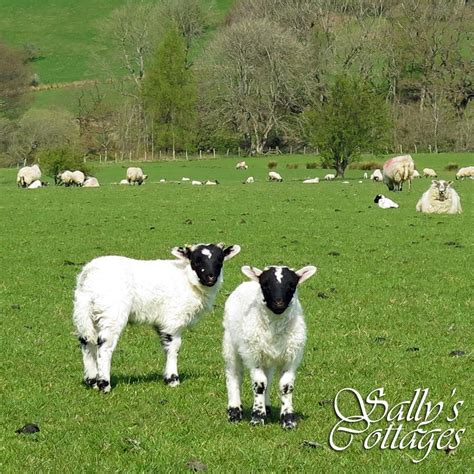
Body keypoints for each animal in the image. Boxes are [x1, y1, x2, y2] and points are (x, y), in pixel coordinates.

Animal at [73, 243, 241, 390]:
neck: (186, 279)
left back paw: (92, 381)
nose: (210, 277)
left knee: (87, 342)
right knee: (104, 345)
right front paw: (173, 380)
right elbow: (174, 347)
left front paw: (167, 378)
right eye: (196, 260)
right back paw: (104, 384)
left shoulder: (162, 322)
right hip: (111, 312)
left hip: (88, 312)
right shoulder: (173, 319)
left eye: (219, 260)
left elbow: (166, 346)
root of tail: (89, 275)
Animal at [223, 262, 318, 430]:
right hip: (231, 343)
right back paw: (234, 412)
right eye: (265, 285)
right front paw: (257, 418)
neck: (275, 326)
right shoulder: (253, 356)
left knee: (268, 376)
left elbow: (286, 386)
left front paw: (288, 420)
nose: (279, 303)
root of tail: (247, 283)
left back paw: (266, 408)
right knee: (234, 375)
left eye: (292, 285)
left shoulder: (292, 357)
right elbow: (259, 384)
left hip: (267, 357)